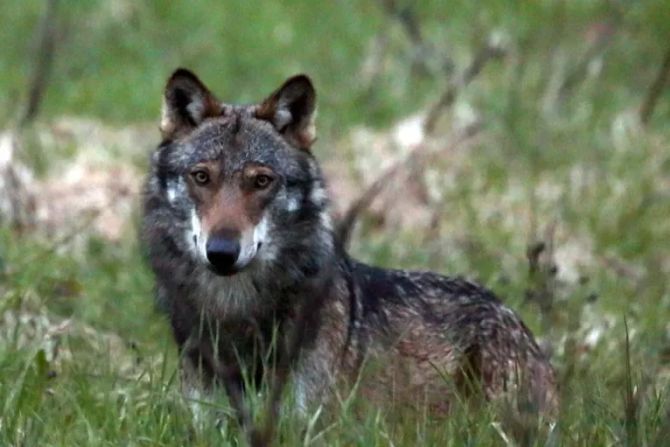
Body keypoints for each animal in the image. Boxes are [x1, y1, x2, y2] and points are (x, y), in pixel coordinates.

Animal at [141, 69, 557, 426]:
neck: (235, 311)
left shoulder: (308, 425)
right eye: (201, 177)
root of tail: (513, 316)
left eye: (261, 181)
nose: (222, 252)